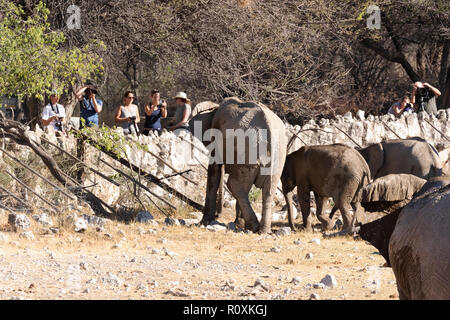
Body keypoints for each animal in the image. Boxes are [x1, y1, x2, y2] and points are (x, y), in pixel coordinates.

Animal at [188, 97, 286, 232]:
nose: (218, 215)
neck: (214, 108)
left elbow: (214, 169)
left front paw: (204, 223)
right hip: (276, 157)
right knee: (268, 190)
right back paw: (262, 230)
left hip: (246, 153)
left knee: (235, 185)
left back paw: (253, 226)